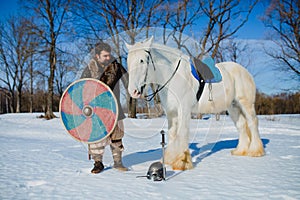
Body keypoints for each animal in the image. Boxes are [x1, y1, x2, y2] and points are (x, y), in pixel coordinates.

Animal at [125, 37, 264, 170]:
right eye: (128, 61)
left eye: (142, 60)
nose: (133, 91)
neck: (173, 76)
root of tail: (245, 72)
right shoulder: (171, 113)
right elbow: (173, 135)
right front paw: (170, 160)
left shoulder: (184, 110)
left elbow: (182, 133)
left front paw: (182, 163)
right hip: (233, 107)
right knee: (241, 125)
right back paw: (240, 151)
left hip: (245, 104)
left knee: (252, 123)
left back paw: (255, 151)